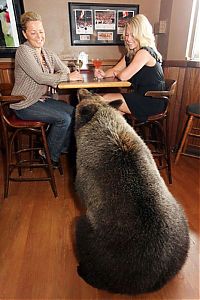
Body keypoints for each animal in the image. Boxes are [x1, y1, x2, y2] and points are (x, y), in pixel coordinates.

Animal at [74, 88, 190, 296]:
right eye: (92, 92)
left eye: (85, 96)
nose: (82, 89)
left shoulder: (85, 171)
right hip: (180, 227)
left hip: (104, 250)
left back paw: (85, 271)